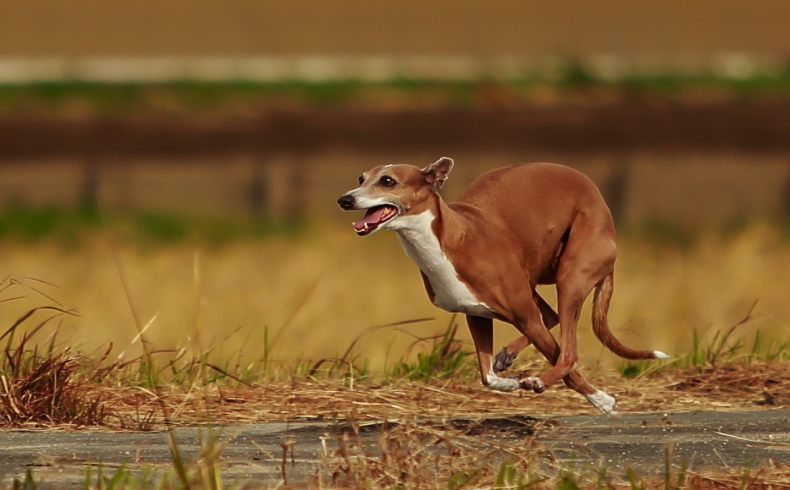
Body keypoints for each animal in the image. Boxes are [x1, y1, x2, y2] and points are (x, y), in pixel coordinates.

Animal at [338, 157, 664, 414]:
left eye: (388, 181)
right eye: (361, 179)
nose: (344, 200)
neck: (449, 239)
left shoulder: (525, 315)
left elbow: (565, 363)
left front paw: (603, 401)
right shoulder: (476, 314)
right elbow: (488, 376)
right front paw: (508, 381)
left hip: (570, 276)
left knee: (568, 352)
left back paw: (546, 381)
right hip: (536, 284)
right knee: (551, 316)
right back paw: (509, 355)